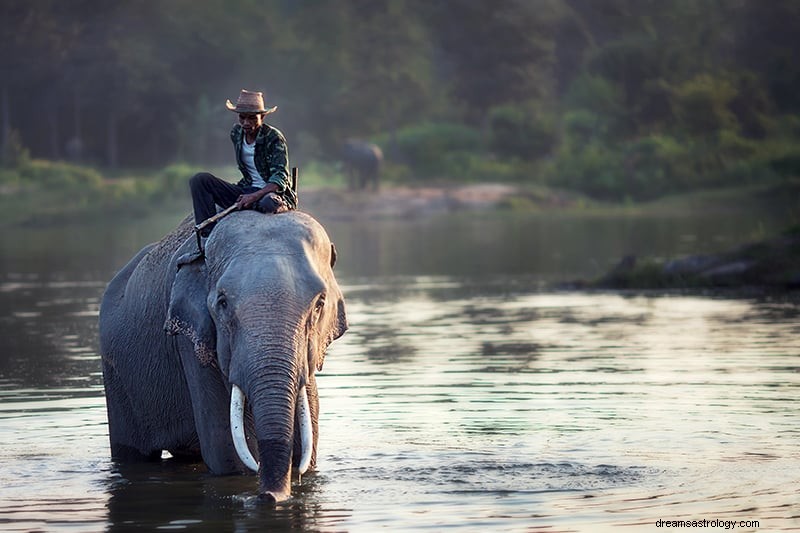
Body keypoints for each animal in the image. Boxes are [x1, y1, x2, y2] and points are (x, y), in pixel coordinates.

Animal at [97, 209, 346, 502]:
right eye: (223, 303)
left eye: (319, 304)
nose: (270, 497)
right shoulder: (190, 340)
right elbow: (225, 449)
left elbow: (308, 438)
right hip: (116, 376)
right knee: (133, 453)